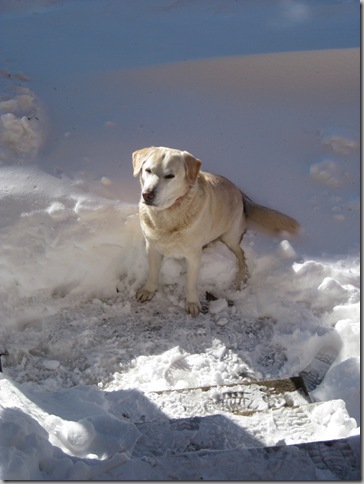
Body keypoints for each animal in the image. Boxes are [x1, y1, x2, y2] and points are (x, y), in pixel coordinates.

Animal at [132, 146, 300, 316]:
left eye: (170, 176)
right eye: (148, 170)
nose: (147, 194)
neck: (168, 215)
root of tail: (240, 192)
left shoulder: (193, 255)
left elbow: (191, 282)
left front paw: (192, 303)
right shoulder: (152, 247)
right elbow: (153, 272)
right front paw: (148, 290)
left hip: (230, 236)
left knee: (241, 255)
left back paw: (240, 278)